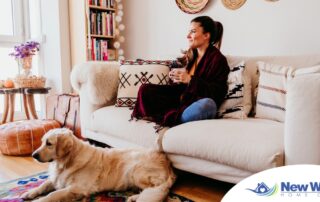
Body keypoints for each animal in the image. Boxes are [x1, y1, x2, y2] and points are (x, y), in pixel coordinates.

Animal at [20, 129, 175, 201]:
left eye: (49, 144)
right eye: (42, 142)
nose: (33, 155)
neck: (67, 161)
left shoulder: (77, 188)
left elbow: (53, 194)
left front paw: (40, 200)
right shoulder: (57, 179)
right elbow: (44, 185)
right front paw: (29, 193)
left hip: (136, 171)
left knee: (157, 189)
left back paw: (135, 197)